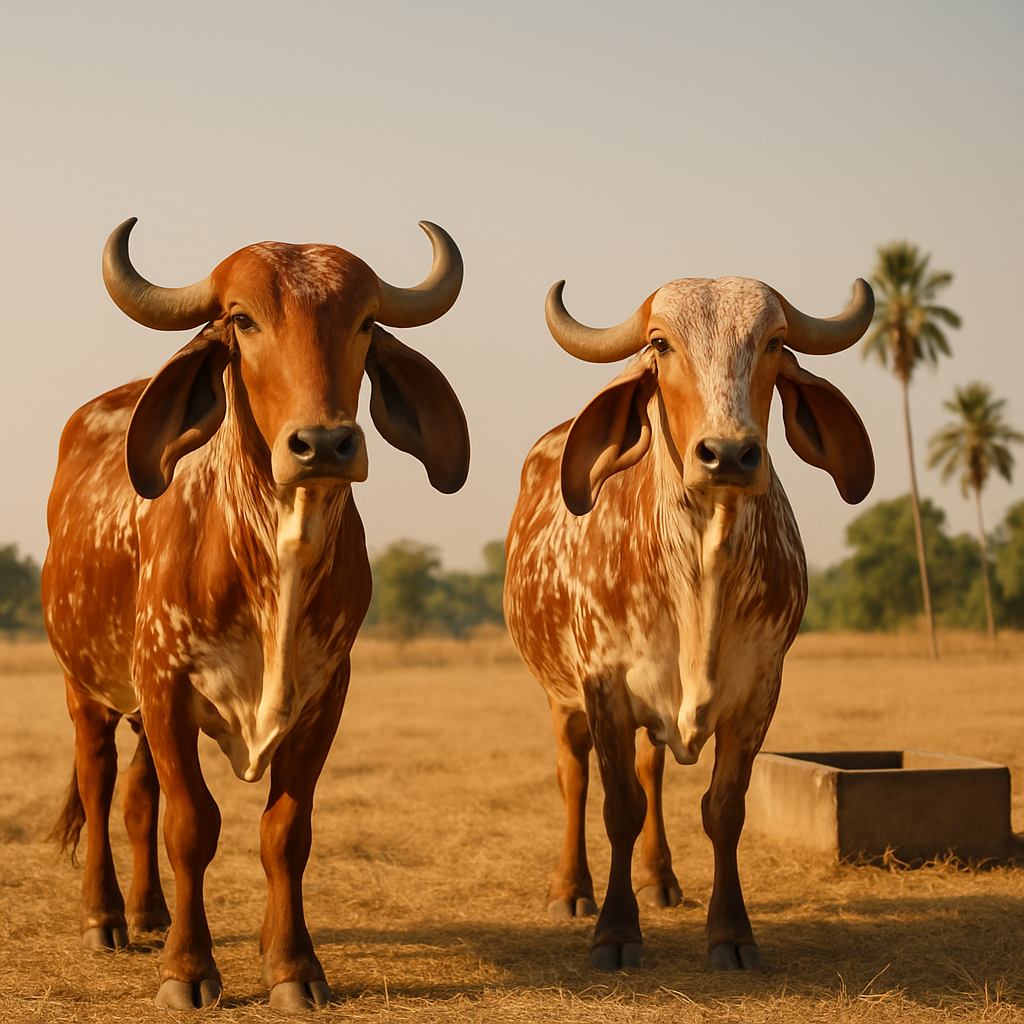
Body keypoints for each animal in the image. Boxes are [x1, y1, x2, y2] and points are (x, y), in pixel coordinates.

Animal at [41, 218, 470, 1010]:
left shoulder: (325, 694)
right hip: (84, 684)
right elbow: (191, 825)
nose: (324, 443)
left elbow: (284, 832)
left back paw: (150, 913)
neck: (277, 555)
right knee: (98, 779)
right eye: (243, 320)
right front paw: (186, 971)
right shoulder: (165, 683)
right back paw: (106, 918)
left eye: (366, 322)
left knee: (138, 794)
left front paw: (293, 966)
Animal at [504, 274, 874, 972]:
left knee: (652, 772)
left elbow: (723, 809)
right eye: (660, 344)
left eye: (774, 341)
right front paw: (615, 933)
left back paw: (659, 879)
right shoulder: (604, 683)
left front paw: (731, 933)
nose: (728, 453)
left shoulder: (759, 689)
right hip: (561, 695)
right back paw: (571, 890)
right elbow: (618, 806)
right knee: (574, 776)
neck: (702, 565)